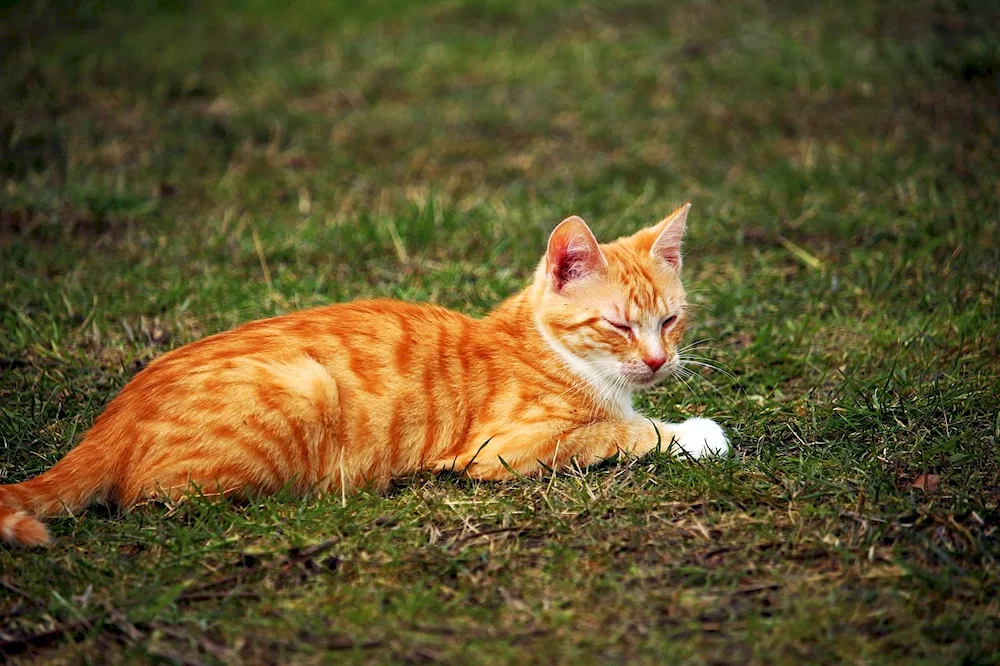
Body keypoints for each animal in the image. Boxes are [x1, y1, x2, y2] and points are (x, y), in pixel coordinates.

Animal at [0, 204, 728, 544]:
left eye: (670, 321)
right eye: (619, 325)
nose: (658, 361)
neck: (550, 350)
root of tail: (114, 413)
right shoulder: (506, 449)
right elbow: (621, 433)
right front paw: (693, 433)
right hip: (303, 388)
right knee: (162, 498)